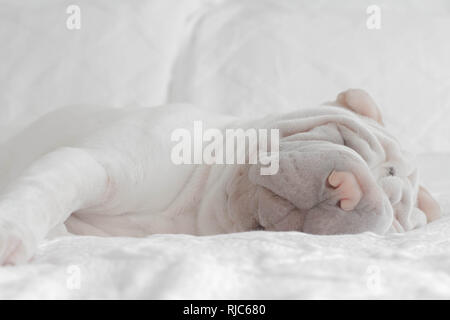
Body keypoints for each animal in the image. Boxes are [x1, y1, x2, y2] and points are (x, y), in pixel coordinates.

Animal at [0, 89, 440, 264]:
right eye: (346, 139)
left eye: (394, 215)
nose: (349, 190)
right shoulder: (92, 163)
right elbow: (45, 190)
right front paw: (13, 232)